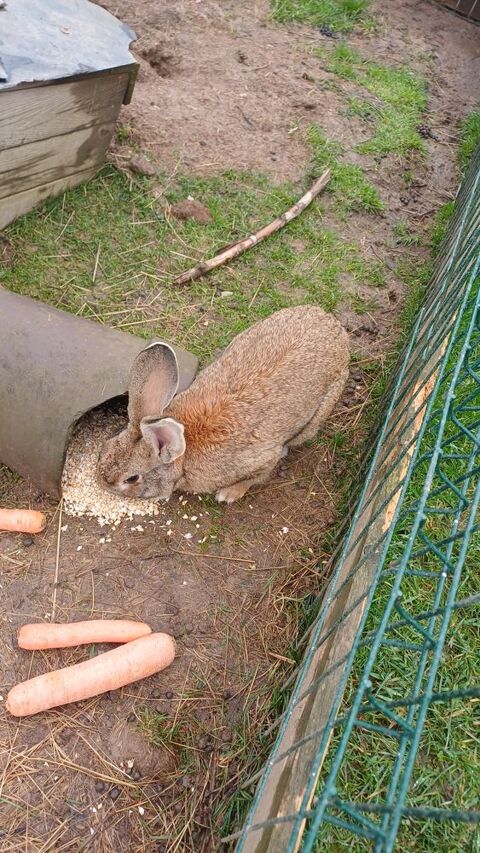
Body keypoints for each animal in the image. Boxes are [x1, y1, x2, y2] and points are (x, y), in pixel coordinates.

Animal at [97, 305, 349, 504]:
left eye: (131, 478)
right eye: (105, 446)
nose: (101, 483)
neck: (183, 459)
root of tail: (334, 325)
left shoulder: (261, 460)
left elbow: (257, 476)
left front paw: (228, 494)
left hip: (318, 414)